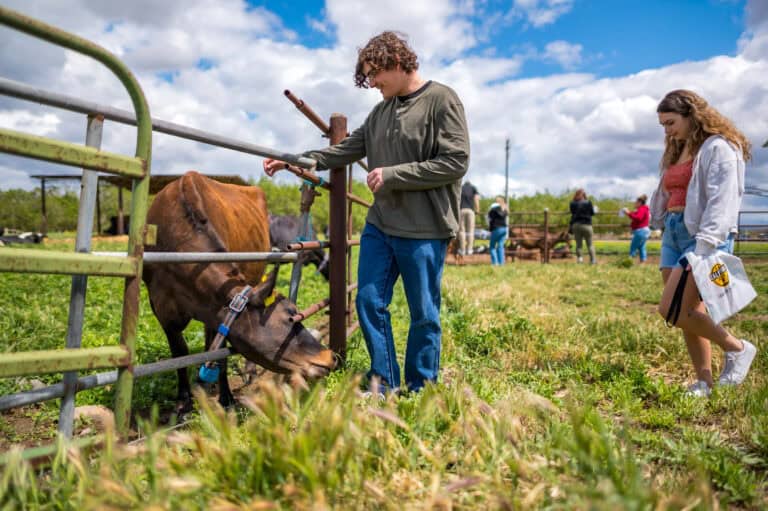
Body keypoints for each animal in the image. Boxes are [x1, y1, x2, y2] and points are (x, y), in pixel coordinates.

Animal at [144, 172, 336, 412]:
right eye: (289, 318)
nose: (330, 356)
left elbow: (218, 352)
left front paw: (225, 397)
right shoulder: (161, 307)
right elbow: (179, 351)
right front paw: (183, 400)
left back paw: (248, 372)